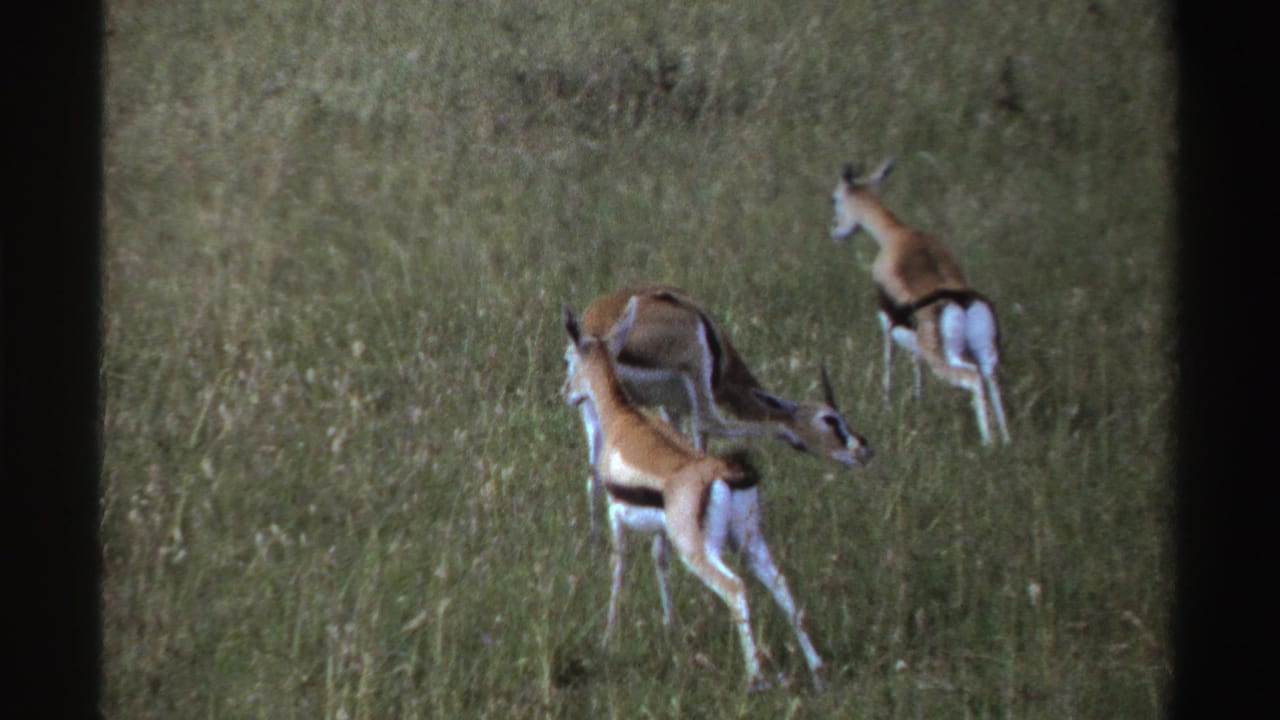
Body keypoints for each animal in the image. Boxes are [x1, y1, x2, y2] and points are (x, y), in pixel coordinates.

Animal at [561, 298, 826, 692]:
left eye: (569, 359)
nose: (565, 393)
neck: (624, 418)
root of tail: (727, 474)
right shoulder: (660, 530)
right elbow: (659, 561)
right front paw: (670, 628)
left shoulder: (616, 514)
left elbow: (618, 567)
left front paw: (609, 637)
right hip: (748, 542)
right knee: (782, 587)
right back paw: (817, 670)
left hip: (701, 551)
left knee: (734, 587)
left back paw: (755, 678)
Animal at [574, 284, 872, 542]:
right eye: (830, 419)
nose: (863, 450)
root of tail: (600, 329)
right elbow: (702, 437)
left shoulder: (670, 408)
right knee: (713, 423)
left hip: (594, 407)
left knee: (594, 473)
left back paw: (596, 546)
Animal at [830, 159, 1011, 445]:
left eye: (834, 198)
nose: (835, 230)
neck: (897, 234)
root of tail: (961, 301)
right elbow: (917, 367)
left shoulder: (887, 323)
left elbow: (889, 361)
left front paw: (885, 405)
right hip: (985, 353)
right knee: (992, 381)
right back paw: (1006, 441)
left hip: (944, 358)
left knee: (972, 378)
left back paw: (988, 442)